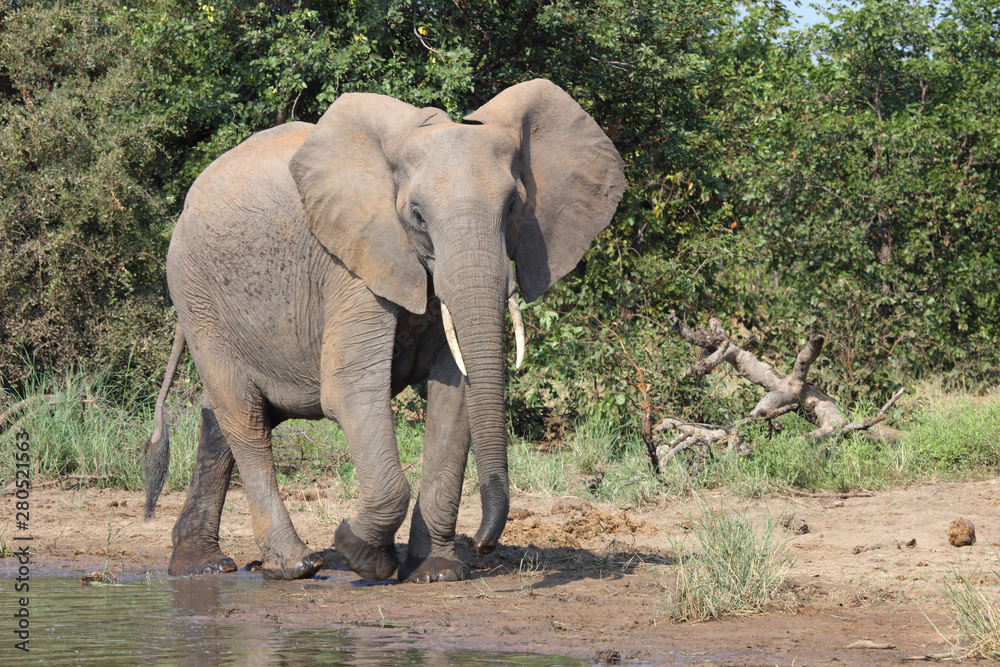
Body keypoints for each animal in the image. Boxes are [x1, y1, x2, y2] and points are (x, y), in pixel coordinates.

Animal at [143, 78, 625, 583]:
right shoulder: (352, 264)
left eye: (514, 207)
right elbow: (351, 390)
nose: (482, 543)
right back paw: (297, 565)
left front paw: (436, 572)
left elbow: (454, 396)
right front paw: (361, 556)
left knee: (222, 416)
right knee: (245, 415)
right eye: (416, 216)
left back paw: (202, 566)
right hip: (197, 294)